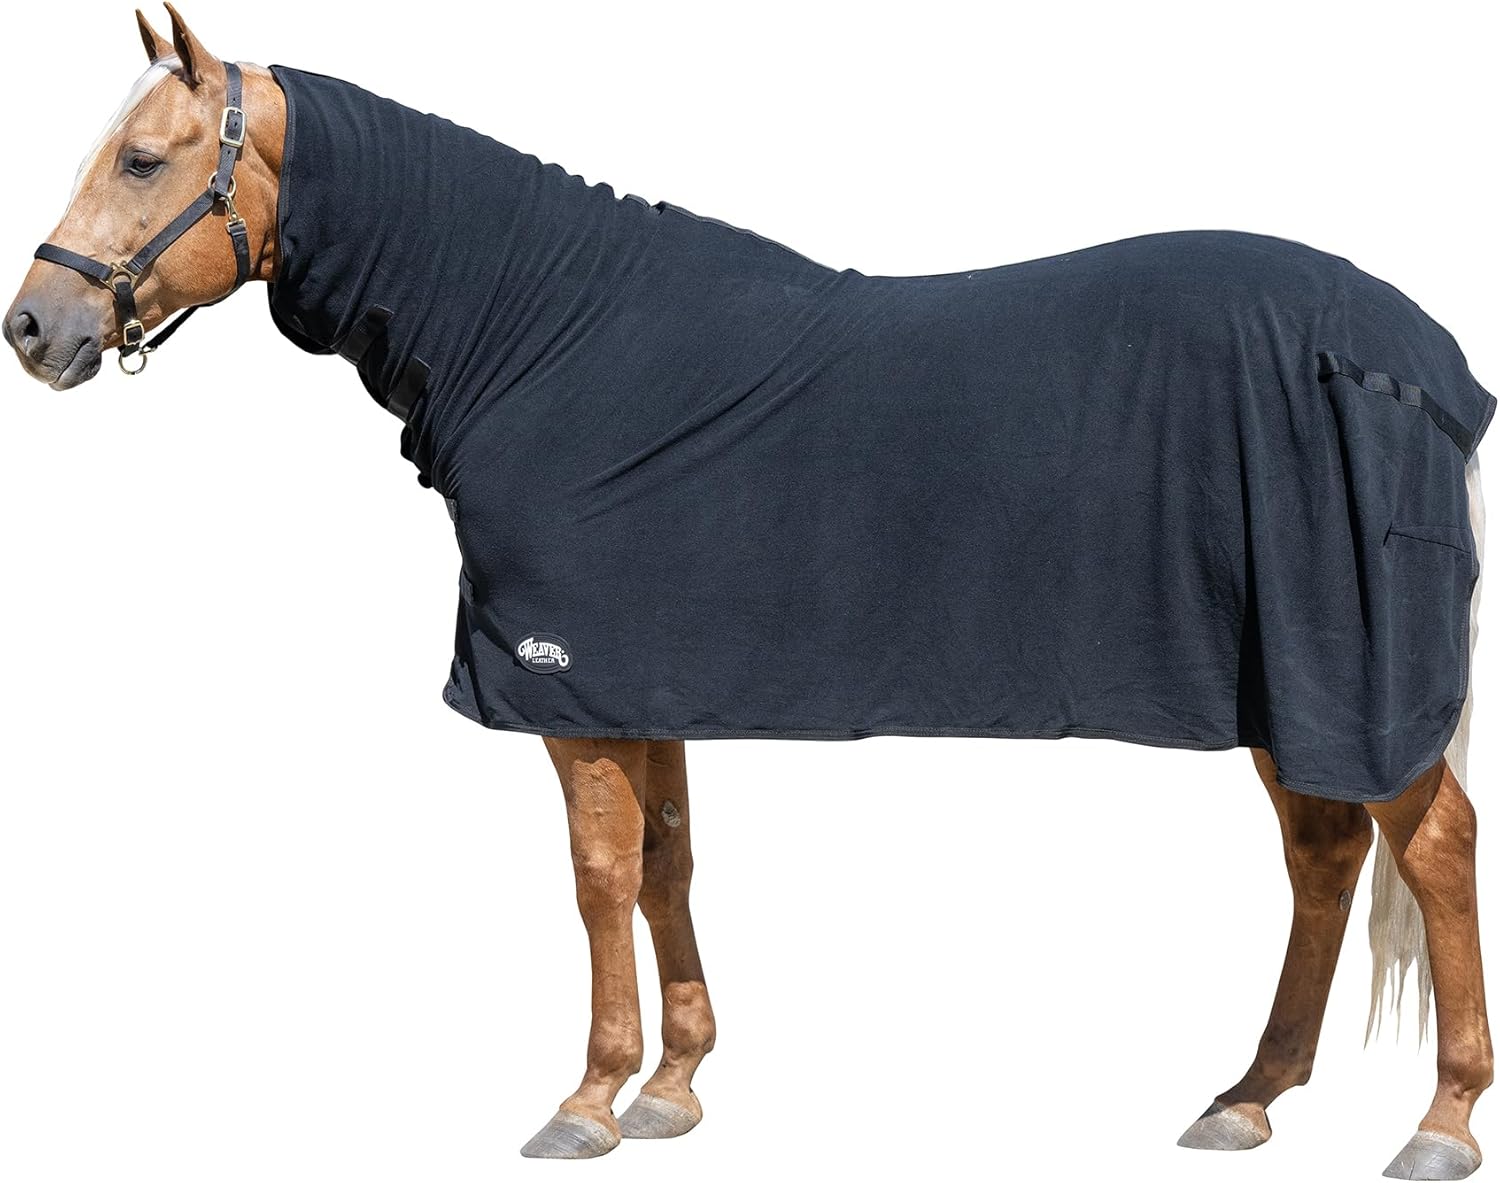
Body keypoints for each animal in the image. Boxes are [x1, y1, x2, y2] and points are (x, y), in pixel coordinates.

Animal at [5, 8, 1493, 1177]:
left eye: (143, 160)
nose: (33, 327)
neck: (547, 340)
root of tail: (1422, 359)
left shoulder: (568, 687)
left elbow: (600, 876)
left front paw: (588, 1098)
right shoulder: (639, 678)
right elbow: (668, 858)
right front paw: (674, 1086)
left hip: (1339, 676)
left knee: (1432, 846)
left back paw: (1439, 1123)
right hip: (1286, 688)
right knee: (1324, 855)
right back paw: (1248, 1096)